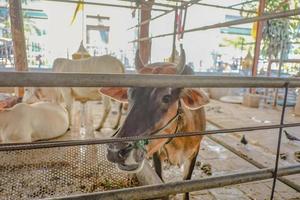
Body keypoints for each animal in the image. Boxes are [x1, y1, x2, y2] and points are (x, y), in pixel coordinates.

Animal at [99, 47, 207, 200]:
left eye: (166, 97)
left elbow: (186, 185)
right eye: (129, 94)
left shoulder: (194, 153)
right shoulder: (158, 155)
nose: (115, 151)